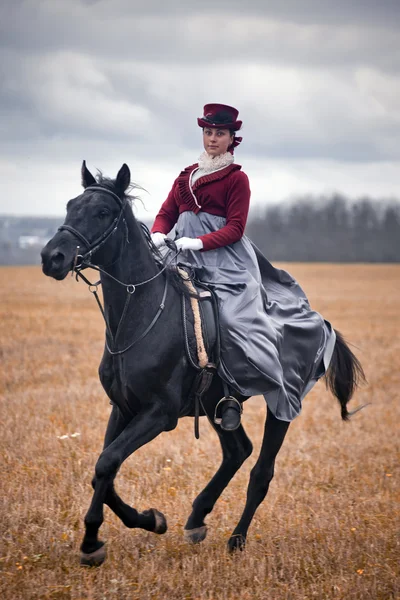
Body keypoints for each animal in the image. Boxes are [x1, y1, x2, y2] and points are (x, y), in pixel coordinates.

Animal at [41, 162, 366, 564]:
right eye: (71, 205)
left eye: (102, 211)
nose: (52, 257)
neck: (140, 314)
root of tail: (318, 321)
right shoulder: (123, 407)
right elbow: (104, 469)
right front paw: (146, 521)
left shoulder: (158, 414)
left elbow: (107, 463)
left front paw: (93, 542)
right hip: (216, 405)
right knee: (238, 451)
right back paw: (197, 518)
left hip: (282, 404)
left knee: (261, 472)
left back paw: (237, 539)